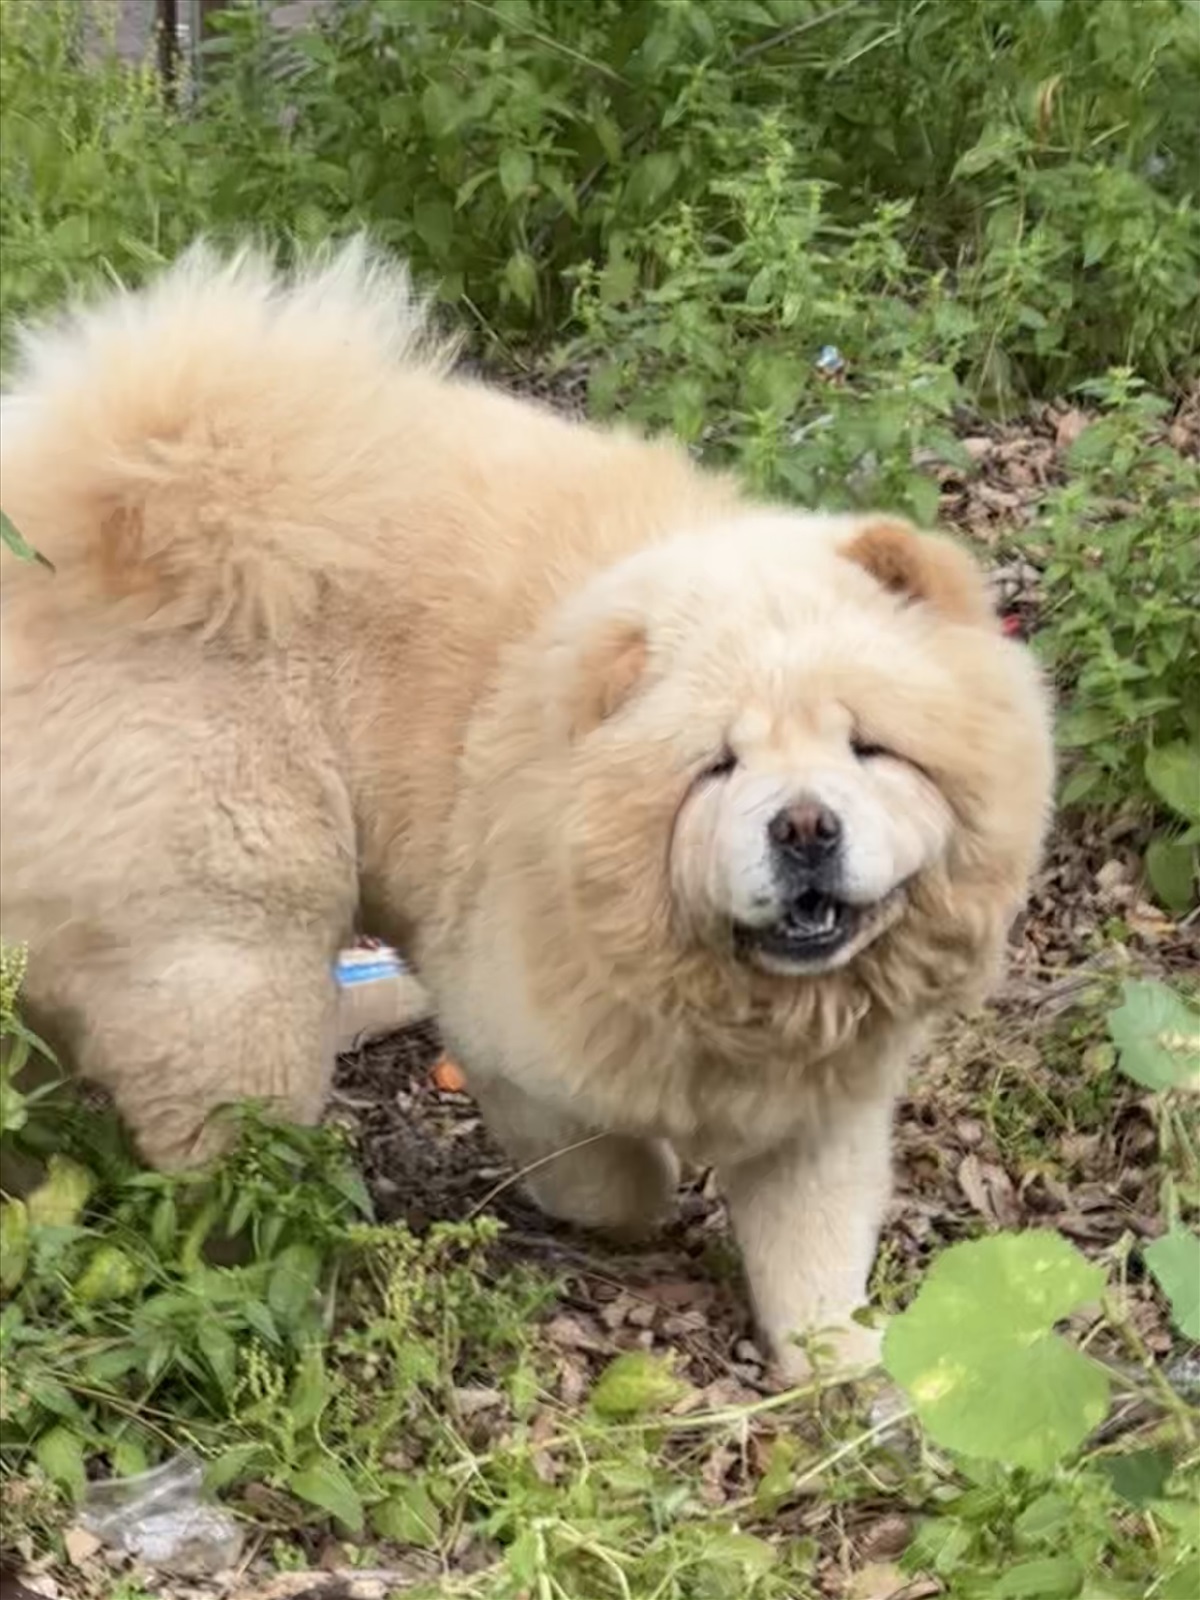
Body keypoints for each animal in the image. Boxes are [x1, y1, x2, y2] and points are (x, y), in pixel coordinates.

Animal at [0, 243, 1049, 1382]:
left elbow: (815, 1244)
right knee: (224, 1145)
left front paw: (850, 1370)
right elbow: (610, 1172)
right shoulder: (521, 1043)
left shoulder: (825, 1104)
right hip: (233, 944)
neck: (742, 995)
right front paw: (645, 1201)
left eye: (868, 747)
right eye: (717, 768)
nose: (805, 826)